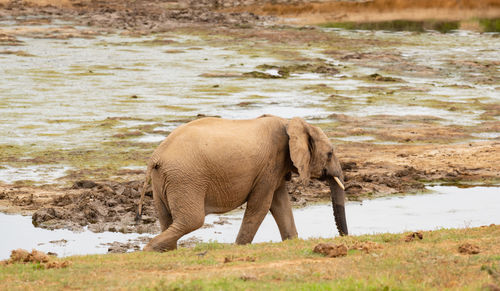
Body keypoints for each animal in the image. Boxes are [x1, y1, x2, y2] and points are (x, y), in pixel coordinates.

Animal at [137, 115, 348, 252]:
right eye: (330, 154)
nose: (344, 238)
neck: (290, 123)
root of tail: (156, 156)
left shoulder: (276, 169)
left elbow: (280, 204)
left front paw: (292, 241)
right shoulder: (270, 165)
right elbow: (261, 205)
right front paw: (239, 247)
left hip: (164, 180)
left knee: (166, 218)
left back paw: (165, 251)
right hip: (185, 179)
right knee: (192, 220)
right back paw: (149, 249)